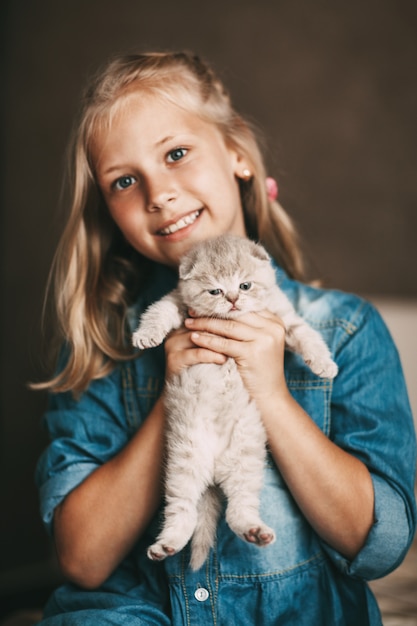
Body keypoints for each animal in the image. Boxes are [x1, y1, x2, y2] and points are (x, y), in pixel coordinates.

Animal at [133, 232, 338, 568]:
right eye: (215, 290)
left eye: (245, 285)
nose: (232, 300)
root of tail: (215, 469)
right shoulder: (176, 301)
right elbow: (158, 311)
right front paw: (145, 334)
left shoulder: (283, 317)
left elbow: (308, 334)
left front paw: (324, 364)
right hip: (183, 463)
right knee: (182, 509)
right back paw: (166, 545)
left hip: (247, 458)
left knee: (238, 506)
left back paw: (254, 530)